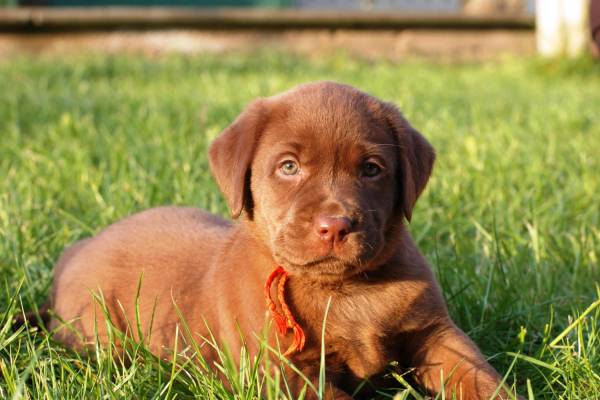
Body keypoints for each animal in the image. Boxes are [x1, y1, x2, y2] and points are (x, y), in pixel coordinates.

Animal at [43, 83, 510, 398]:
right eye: (289, 167)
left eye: (372, 169)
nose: (335, 225)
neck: (344, 290)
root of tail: (77, 249)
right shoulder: (282, 372)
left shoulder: (435, 332)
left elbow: (478, 376)